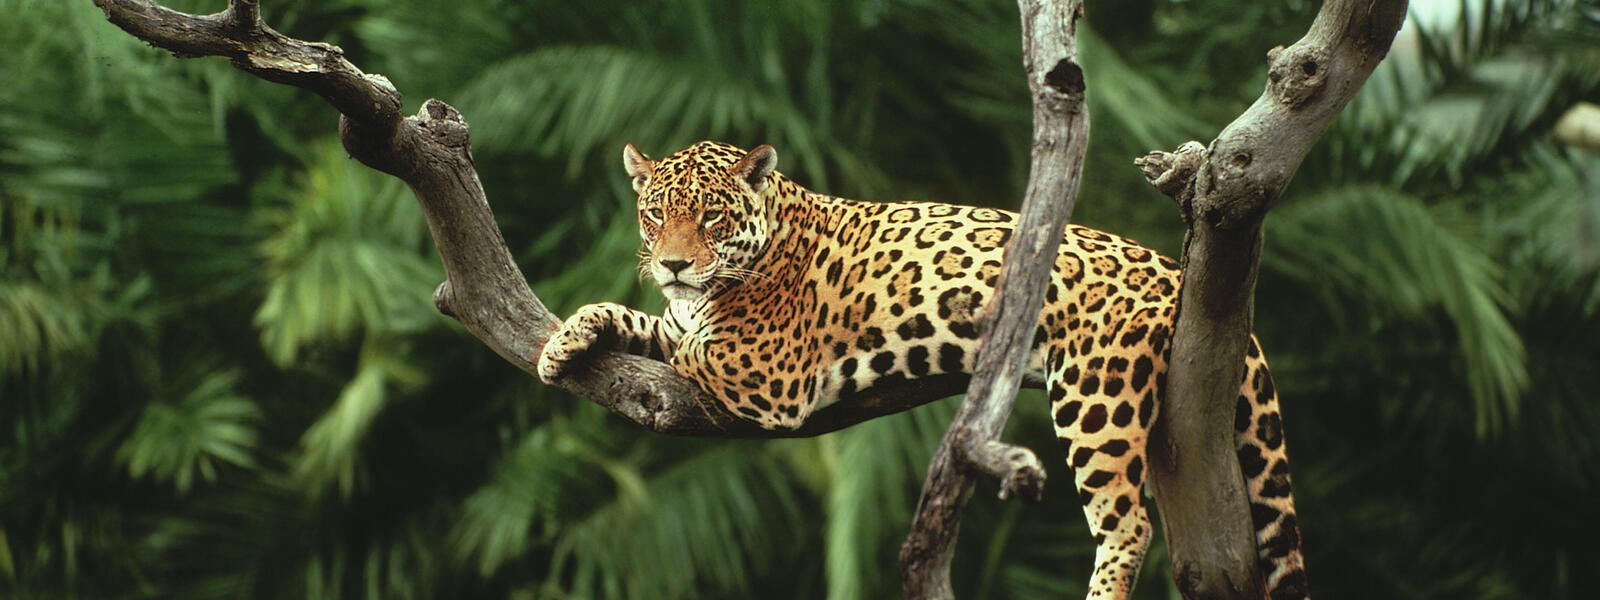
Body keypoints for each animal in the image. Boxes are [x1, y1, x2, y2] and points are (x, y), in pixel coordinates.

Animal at [537, 140, 1309, 600]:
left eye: (711, 219)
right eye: (653, 214)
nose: (673, 263)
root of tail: (1174, 271)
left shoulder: (771, 369)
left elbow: (693, 346)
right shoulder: (682, 319)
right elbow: (638, 319)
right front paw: (562, 343)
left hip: (1099, 396)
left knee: (1127, 523)